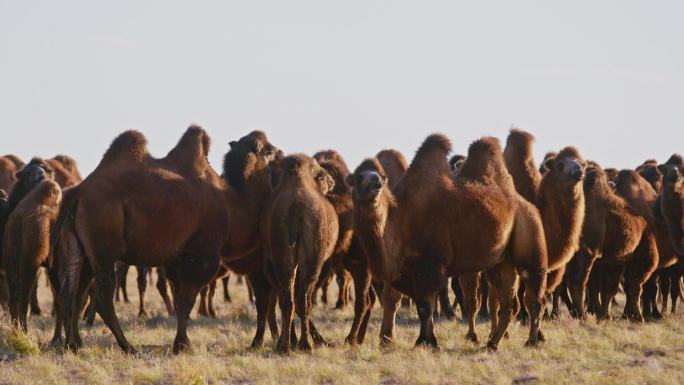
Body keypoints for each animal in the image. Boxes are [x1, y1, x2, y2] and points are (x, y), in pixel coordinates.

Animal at [260, 154, 338, 352]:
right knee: (303, 299)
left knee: (289, 298)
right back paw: (304, 344)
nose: (332, 181)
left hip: (282, 256)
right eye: (322, 177)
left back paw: (286, 344)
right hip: (311, 259)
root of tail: (297, 208)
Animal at [350, 134, 548, 350]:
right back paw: (492, 343)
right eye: (357, 178)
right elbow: (421, 304)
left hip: (530, 239)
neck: (403, 219)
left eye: (380, 176)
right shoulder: (412, 270)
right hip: (502, 261)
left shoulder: (431, 264)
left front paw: (425, 341)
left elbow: (424, 307)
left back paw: (530, 341)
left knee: (534, 297)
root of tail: (529, 206)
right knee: (509, 304)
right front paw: (428, 340)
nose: (375, 182)